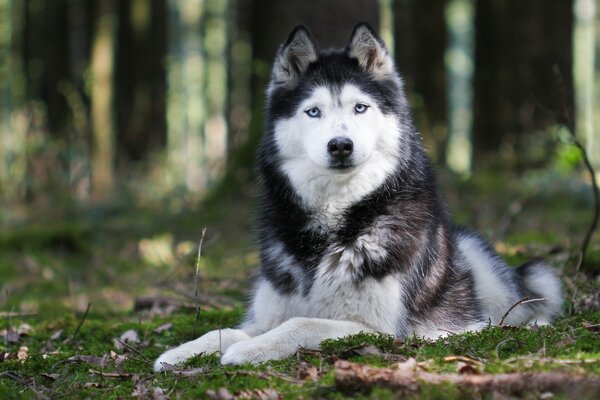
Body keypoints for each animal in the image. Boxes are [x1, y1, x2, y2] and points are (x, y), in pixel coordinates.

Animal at [154, 23, 564, 370]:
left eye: (360, 107)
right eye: (313, 111)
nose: (340, 145)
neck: (335, 221)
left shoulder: (378, 328)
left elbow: (301, 323)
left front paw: (249, 350)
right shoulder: (268, 312)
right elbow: (225, 330)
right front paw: (179, 353)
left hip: (483, 264)